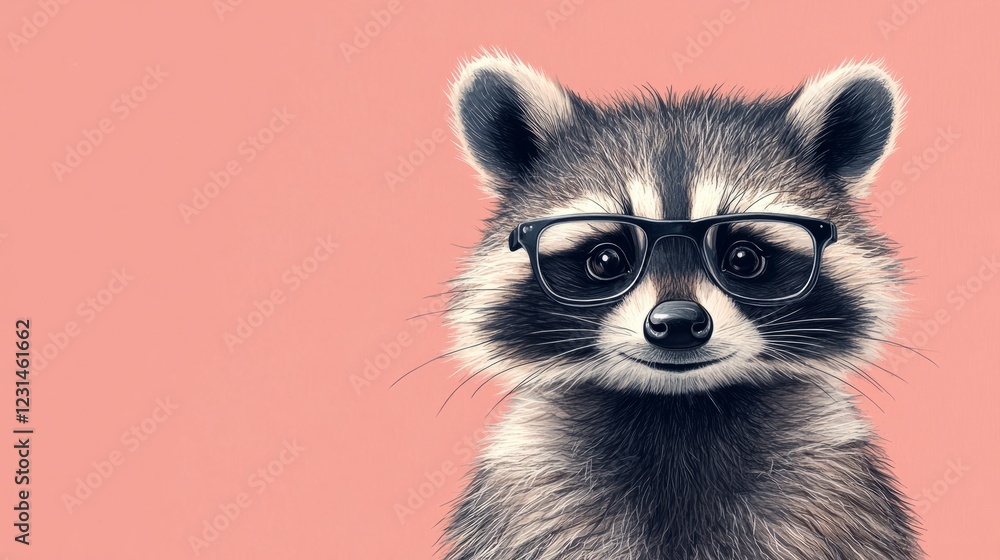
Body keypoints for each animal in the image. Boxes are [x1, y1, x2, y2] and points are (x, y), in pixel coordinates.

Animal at [440, 52, 922, 560]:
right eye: (606, 260)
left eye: (743, 258)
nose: (676, 323)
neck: (679, 408)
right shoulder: (532, 498)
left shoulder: (830, 496)